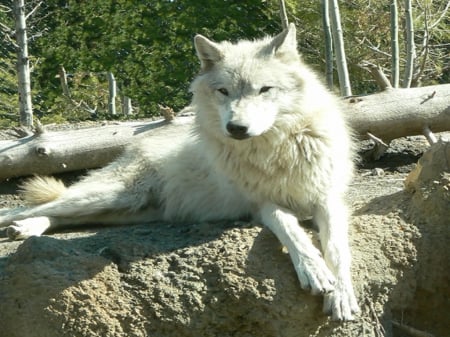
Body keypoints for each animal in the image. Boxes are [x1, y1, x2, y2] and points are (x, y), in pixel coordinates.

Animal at [0, 24, 358, 320]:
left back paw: (28, 228)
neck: (276, 148)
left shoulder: (328, 198)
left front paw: (341, 294)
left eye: (264, 89)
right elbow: (291, 230)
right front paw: (314, 270)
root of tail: (134, 145)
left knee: (61, 217)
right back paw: (22, 225)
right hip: (111, 195)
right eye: (223, 91)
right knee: (29, 208)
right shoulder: (262, 204)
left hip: (128, 210)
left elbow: (338, 248)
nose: (236, 128)